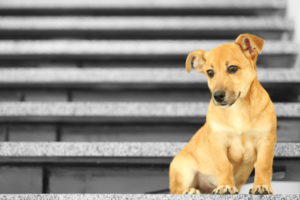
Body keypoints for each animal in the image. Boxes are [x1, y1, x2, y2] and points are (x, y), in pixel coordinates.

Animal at [170, 33, 278, 195]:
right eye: (210, 72)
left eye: (232, 68)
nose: (217, 96)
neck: (237, 109)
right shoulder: (218, 141)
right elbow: (224, 165)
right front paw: (225, 186)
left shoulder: (266, 140)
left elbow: (263, 165)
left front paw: (261, 185)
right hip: (184, 170)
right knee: (175, 190)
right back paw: (189, 191)